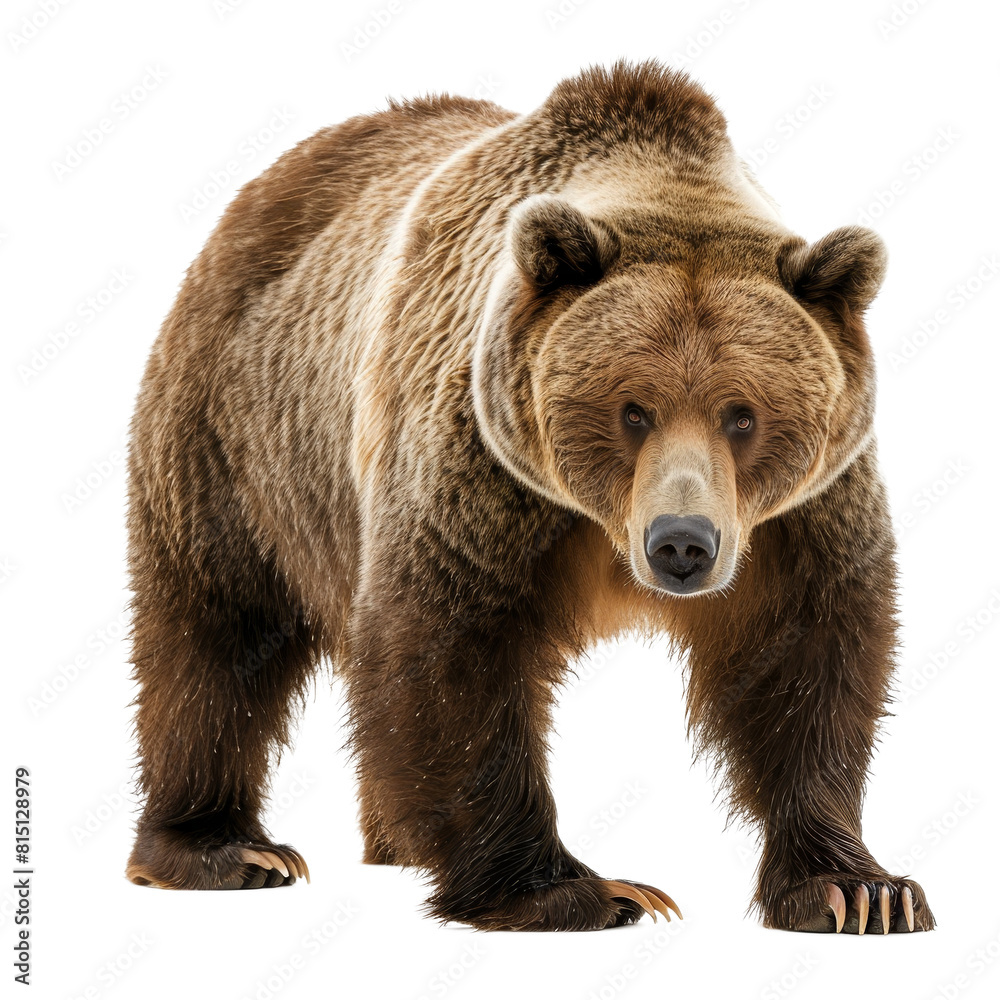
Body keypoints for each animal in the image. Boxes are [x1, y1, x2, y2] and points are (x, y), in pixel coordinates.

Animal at [124, 60, 934, 934]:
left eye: (742, 414)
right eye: (633, 409)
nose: (681, 543)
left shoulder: (798, 518)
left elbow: (804, 659)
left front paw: (859, 889)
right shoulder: (482, 473)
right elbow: (451, 651)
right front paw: (580, 891)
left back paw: (391, 839)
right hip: (239, 439)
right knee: (217, 636)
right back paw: (224, 849)